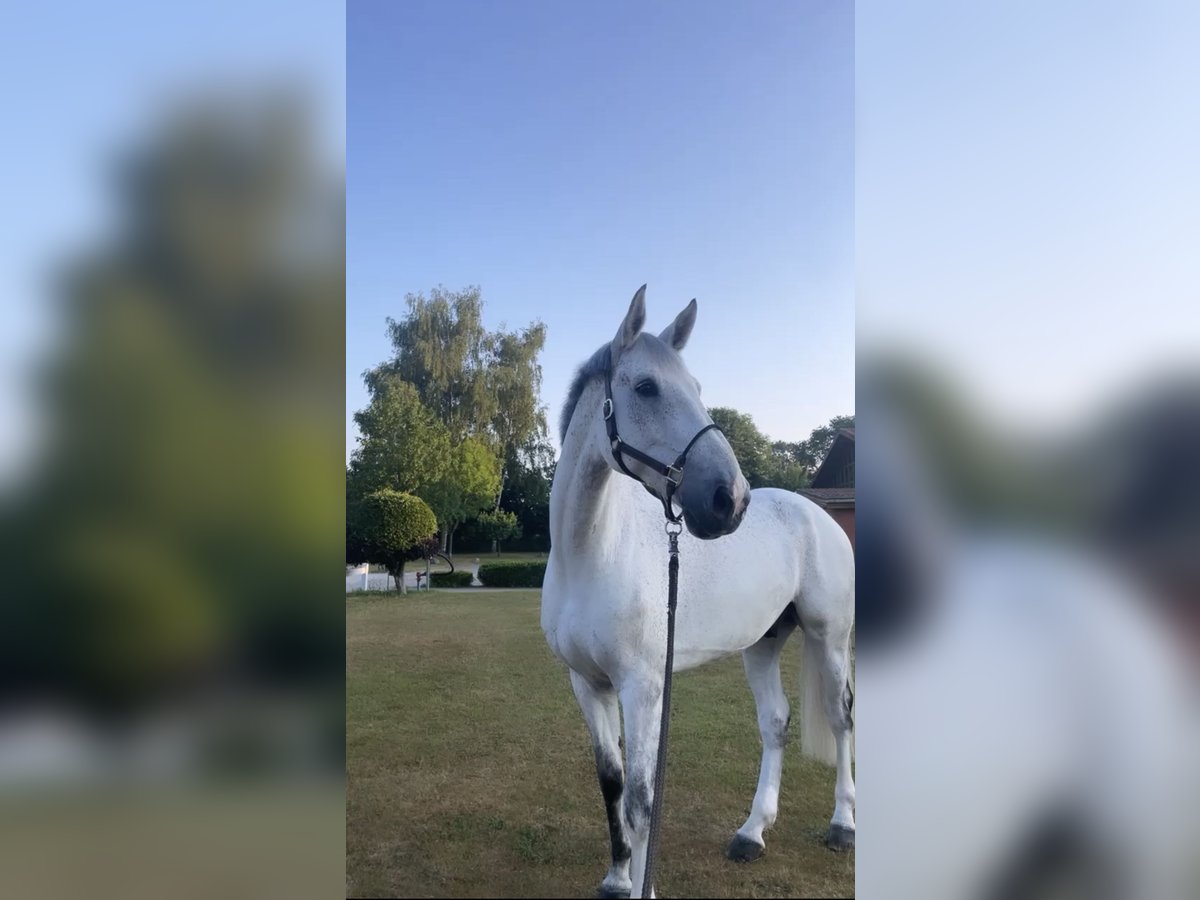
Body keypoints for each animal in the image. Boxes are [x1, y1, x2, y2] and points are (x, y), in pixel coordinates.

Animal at [544, 285, 854, 897]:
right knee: (775, 723)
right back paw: (752, 833)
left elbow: (643, 801)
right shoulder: (587, 684)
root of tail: (817, 515)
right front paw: (616, 877)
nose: (729, 498)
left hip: (829, 640)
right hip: (763, 643)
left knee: (840, 720)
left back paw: (842, 826)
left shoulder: (643, 687)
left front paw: (642, 886)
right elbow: (612, 783)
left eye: (698, 388)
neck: (588, 556)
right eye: (646, 386)